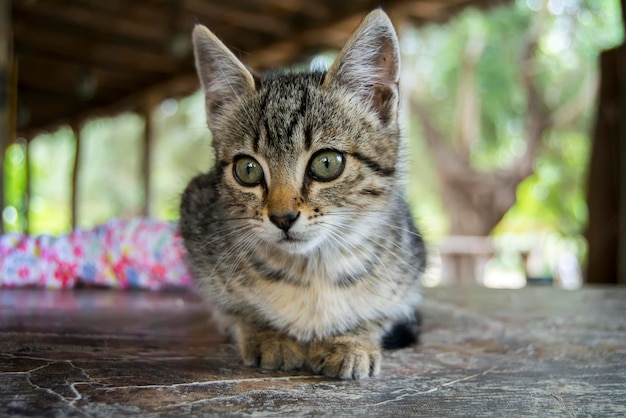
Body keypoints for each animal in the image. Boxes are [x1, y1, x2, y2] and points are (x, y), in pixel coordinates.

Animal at [178, 8, 426, 380]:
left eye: (327, 163)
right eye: (247, 170)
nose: (283, 218)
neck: (314, 273)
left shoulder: (409, 267)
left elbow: (379, 314)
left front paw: (352, 339)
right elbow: (233, 309)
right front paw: (267, 334)